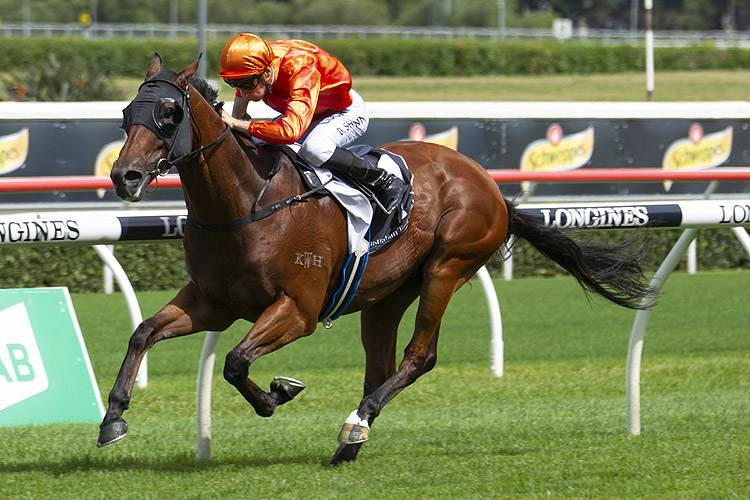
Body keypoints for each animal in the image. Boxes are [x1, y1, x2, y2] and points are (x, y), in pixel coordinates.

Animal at [101, 54, 656, 464]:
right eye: (127, 114)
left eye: (168, 114)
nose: (125, 176)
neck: (247, 203)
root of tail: (492, 187)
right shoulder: (212, 303)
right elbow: (143, 332)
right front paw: (113, 419)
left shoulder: (298, 309)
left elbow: (236, 362)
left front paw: (279, 393)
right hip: (386, 294)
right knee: (381, 363)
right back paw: (351, 442)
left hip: (447, 266)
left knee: (418, 356)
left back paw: (355, 424)